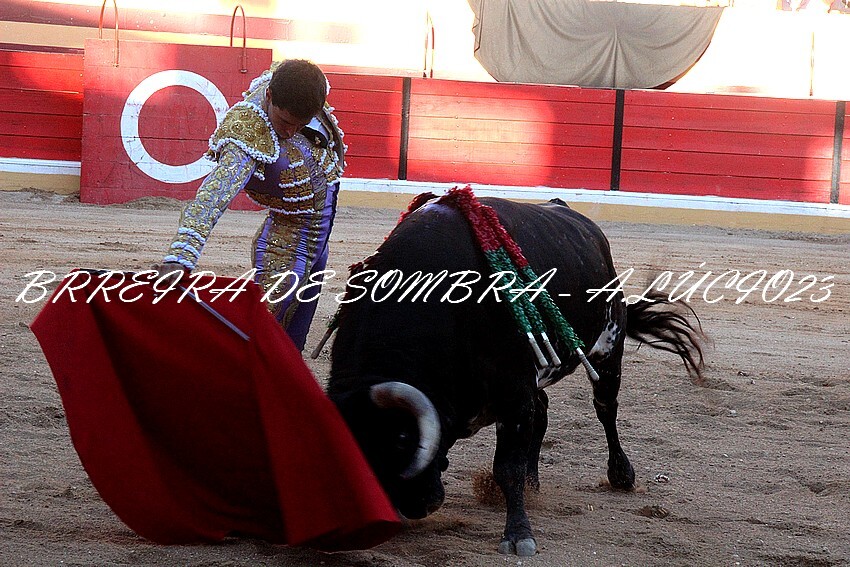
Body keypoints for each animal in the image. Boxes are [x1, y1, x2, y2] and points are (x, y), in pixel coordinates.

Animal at [326, 193, 704, 556]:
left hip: (608, 350)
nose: (417, 505)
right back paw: (533, 483)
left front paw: (518, 535)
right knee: (544, 412)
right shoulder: (507, 394)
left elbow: (507, 467)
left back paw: (621, 475)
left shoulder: (513, 396)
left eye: (402, 438)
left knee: (605, 409)